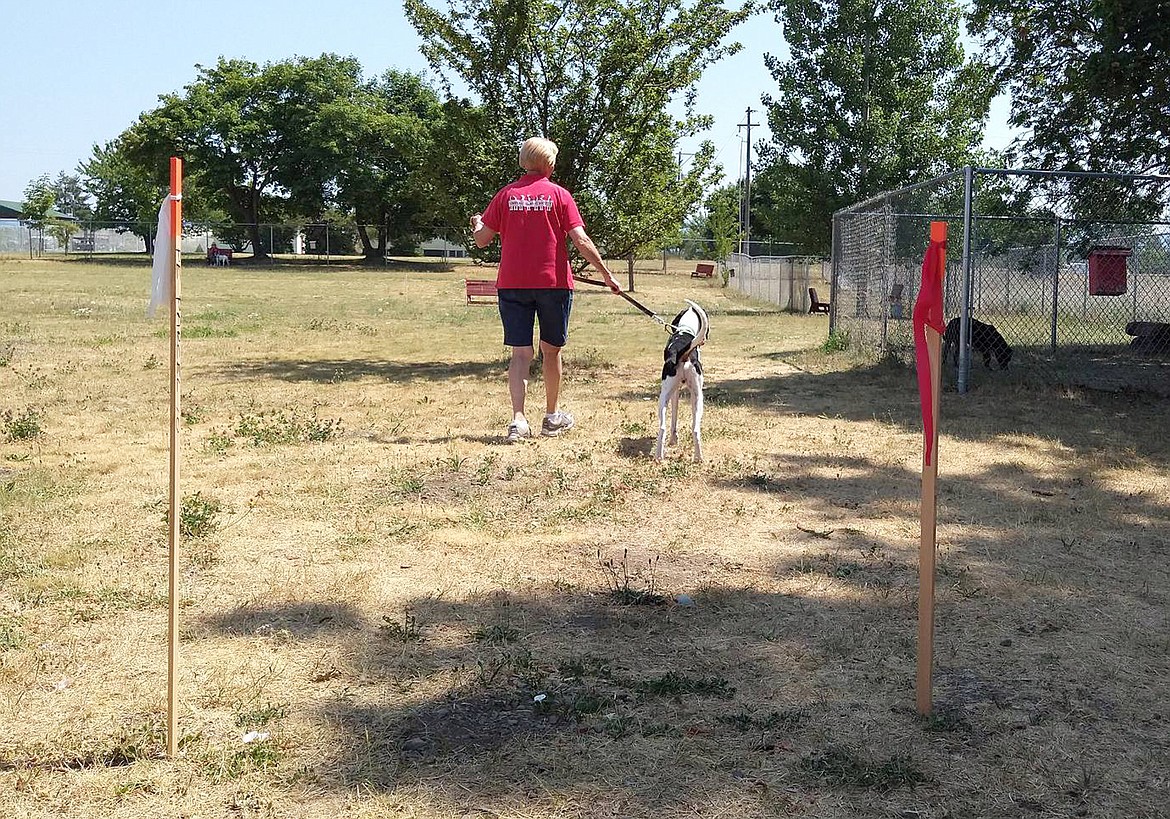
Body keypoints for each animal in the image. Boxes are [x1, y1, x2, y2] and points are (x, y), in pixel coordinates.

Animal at [655, 301, 706, 463]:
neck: (685, 330)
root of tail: (681, 352)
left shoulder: (676, 391)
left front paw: (673, 440)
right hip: (697, 398)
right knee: (695, 429)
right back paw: (698, 458)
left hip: (665, 397)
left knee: (663, 427)